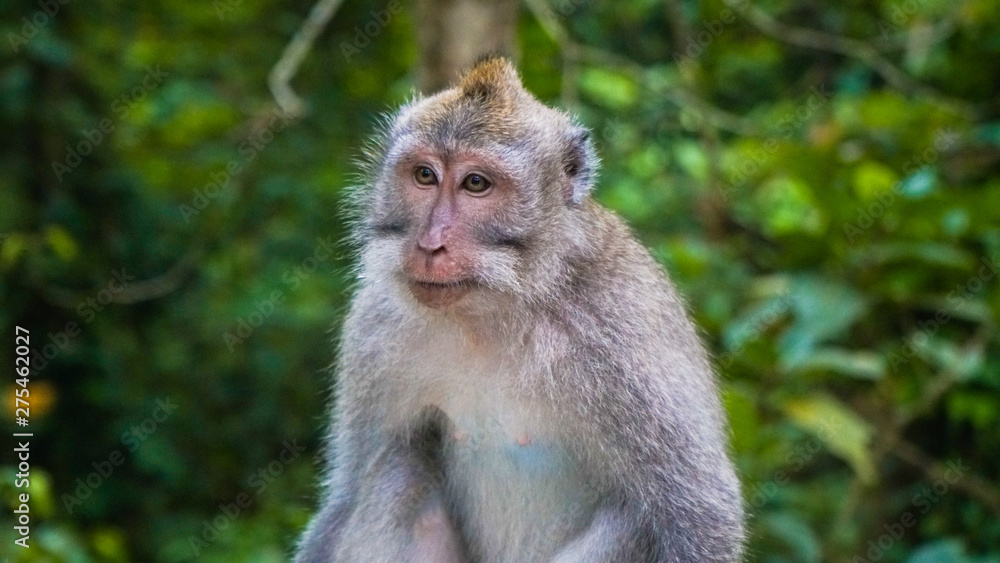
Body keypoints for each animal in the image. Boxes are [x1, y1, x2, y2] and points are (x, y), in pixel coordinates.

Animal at [294, 58, 744, 563]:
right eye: (425, 176)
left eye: (476, 183)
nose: (430, 245)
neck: (496, 307)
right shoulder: (375, 325)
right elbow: (347, 492)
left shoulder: (620, 329)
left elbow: (698, 512)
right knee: (398, 468)